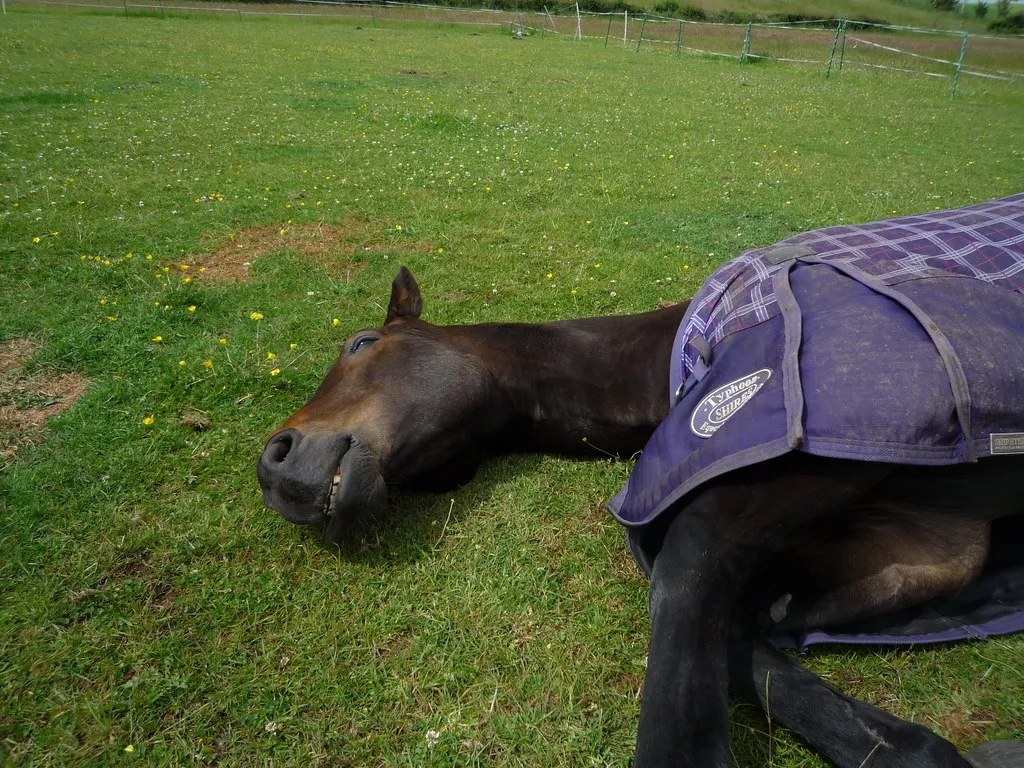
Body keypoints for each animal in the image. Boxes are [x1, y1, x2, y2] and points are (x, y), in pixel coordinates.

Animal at [258, 200, 1024, 768]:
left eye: (362, 343)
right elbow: (740, 624)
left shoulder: (824, 449)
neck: (672, 356)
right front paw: (912, 748)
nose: (274, 463)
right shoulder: (923, 549)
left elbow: (686, 568)